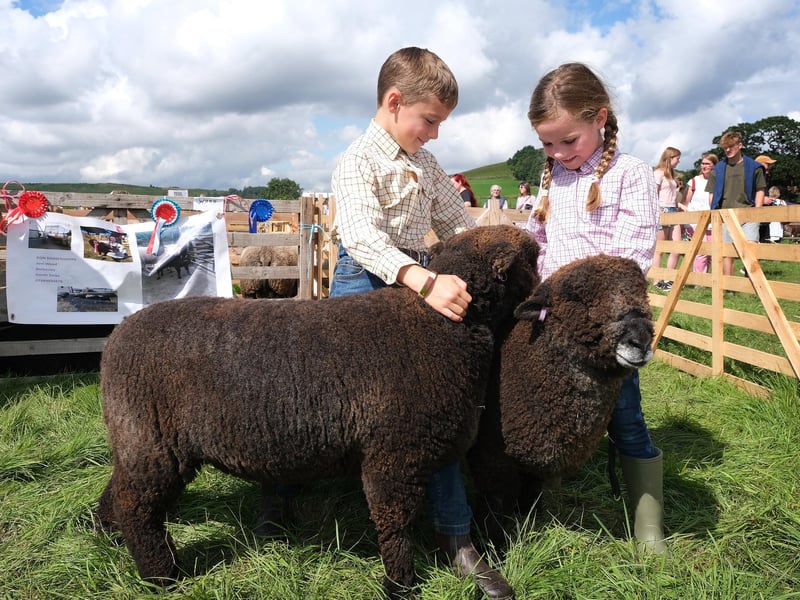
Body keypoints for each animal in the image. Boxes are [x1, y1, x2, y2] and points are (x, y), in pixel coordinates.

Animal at [93, 225, 540, 599]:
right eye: (533, 258)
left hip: (138, 438)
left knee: (121, 491)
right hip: (152, 442)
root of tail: (117, 336)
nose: (541, 296)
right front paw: (400, 585)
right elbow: (395, 524)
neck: (441, 324)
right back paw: (161, 574)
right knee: (137, 506)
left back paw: (107, 534)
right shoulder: (393, 456)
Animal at [467, 254, 655, 546]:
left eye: (644, 293)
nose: (641, 341)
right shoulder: (491, 456)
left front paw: (528, 519)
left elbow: (531, 493)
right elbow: (495, 504)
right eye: (575, 296)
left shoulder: (535, 458)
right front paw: (493, 543)